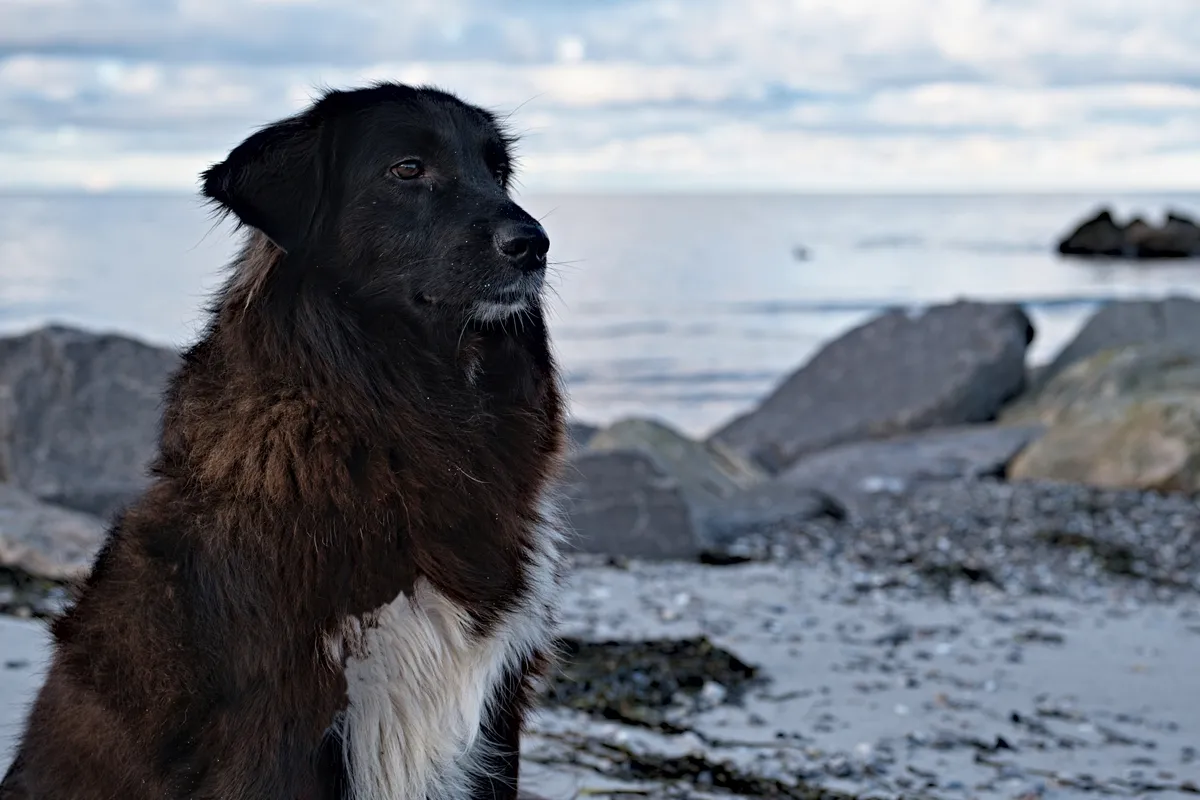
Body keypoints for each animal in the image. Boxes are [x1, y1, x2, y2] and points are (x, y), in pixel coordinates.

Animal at [0, 82, 571, 800]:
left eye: (497, 173)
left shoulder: (495, 711)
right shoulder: (280, 720)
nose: (535, 244)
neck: (397, 416)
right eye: (408, 169)